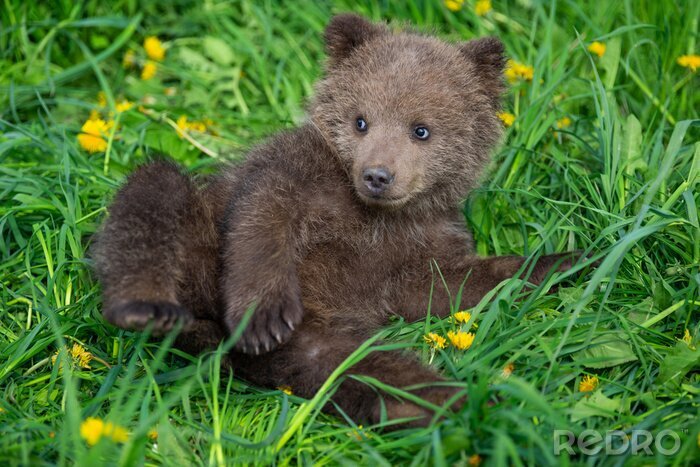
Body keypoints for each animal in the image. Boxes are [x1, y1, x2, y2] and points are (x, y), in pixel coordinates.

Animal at [93, 14, 584, 428]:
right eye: (360, 120)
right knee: (156, 193)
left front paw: (570, 261)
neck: (376, 218)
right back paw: (147, 308)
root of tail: (212, 336)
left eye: (421, 129)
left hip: (322, 342)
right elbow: (261, 222)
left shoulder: (419, 243)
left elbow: (454, 282)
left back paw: (466, 405)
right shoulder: (296, 175)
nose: (378, 175)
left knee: (370, 370)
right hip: (200, 252)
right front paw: (263, 316)